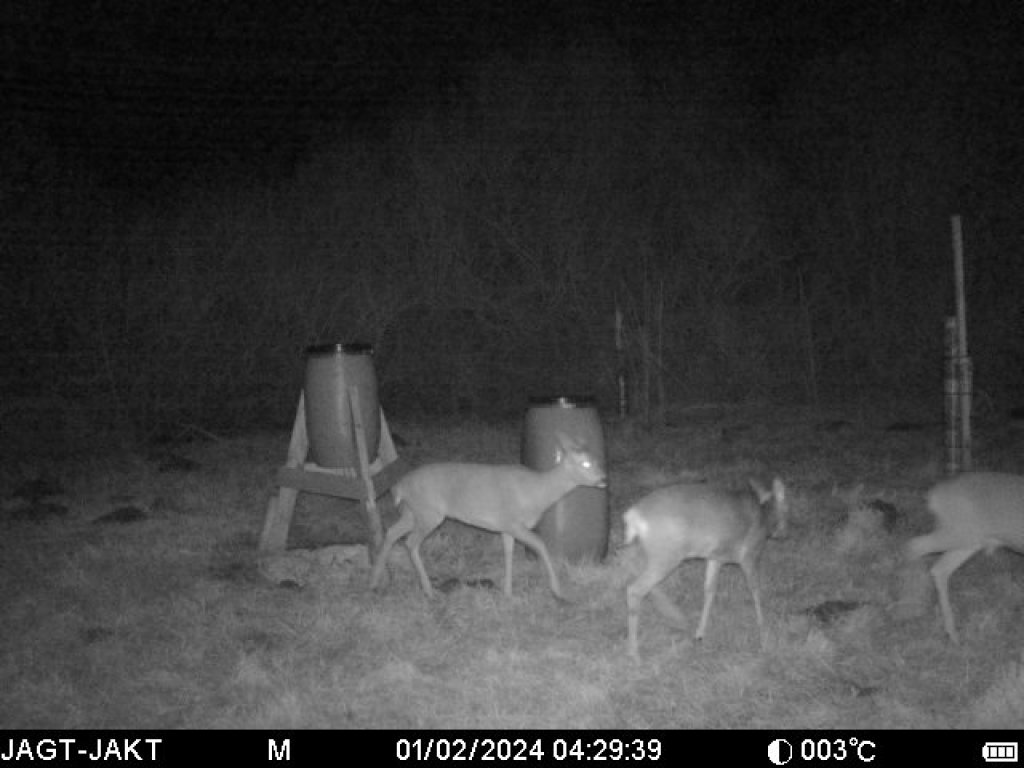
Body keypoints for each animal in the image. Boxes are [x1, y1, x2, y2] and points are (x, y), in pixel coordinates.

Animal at [369, 433, 606, 600]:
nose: (604, 478)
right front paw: (558, 591)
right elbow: (540, 543)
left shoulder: (505, 527)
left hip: (414, 511)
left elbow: (509, 552)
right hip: (429, 512)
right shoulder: (513, 521)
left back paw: (375, 580)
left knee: (392, 532)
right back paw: (428, 591)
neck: (537, 493)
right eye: (585, 463)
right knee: (410, 542)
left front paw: (508, 592)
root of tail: (400, 487)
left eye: (596, 459)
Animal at [623, 477, 788, 657]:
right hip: (665, 555)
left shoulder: (715, 558)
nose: (782, 533)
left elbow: (709, 591)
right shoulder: (749, 555)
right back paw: (633, 651)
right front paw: (763, 634)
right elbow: (755, 590)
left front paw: (700, 633)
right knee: (635, 589)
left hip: (650, 553)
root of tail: (633, 515)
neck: (764, 516)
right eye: (786, 504)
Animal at [906, 471, 1024, 644]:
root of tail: (934, 495)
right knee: (914, 546)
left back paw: (952, 633)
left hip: (968, 541)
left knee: (939, 568)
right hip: (958, 534)